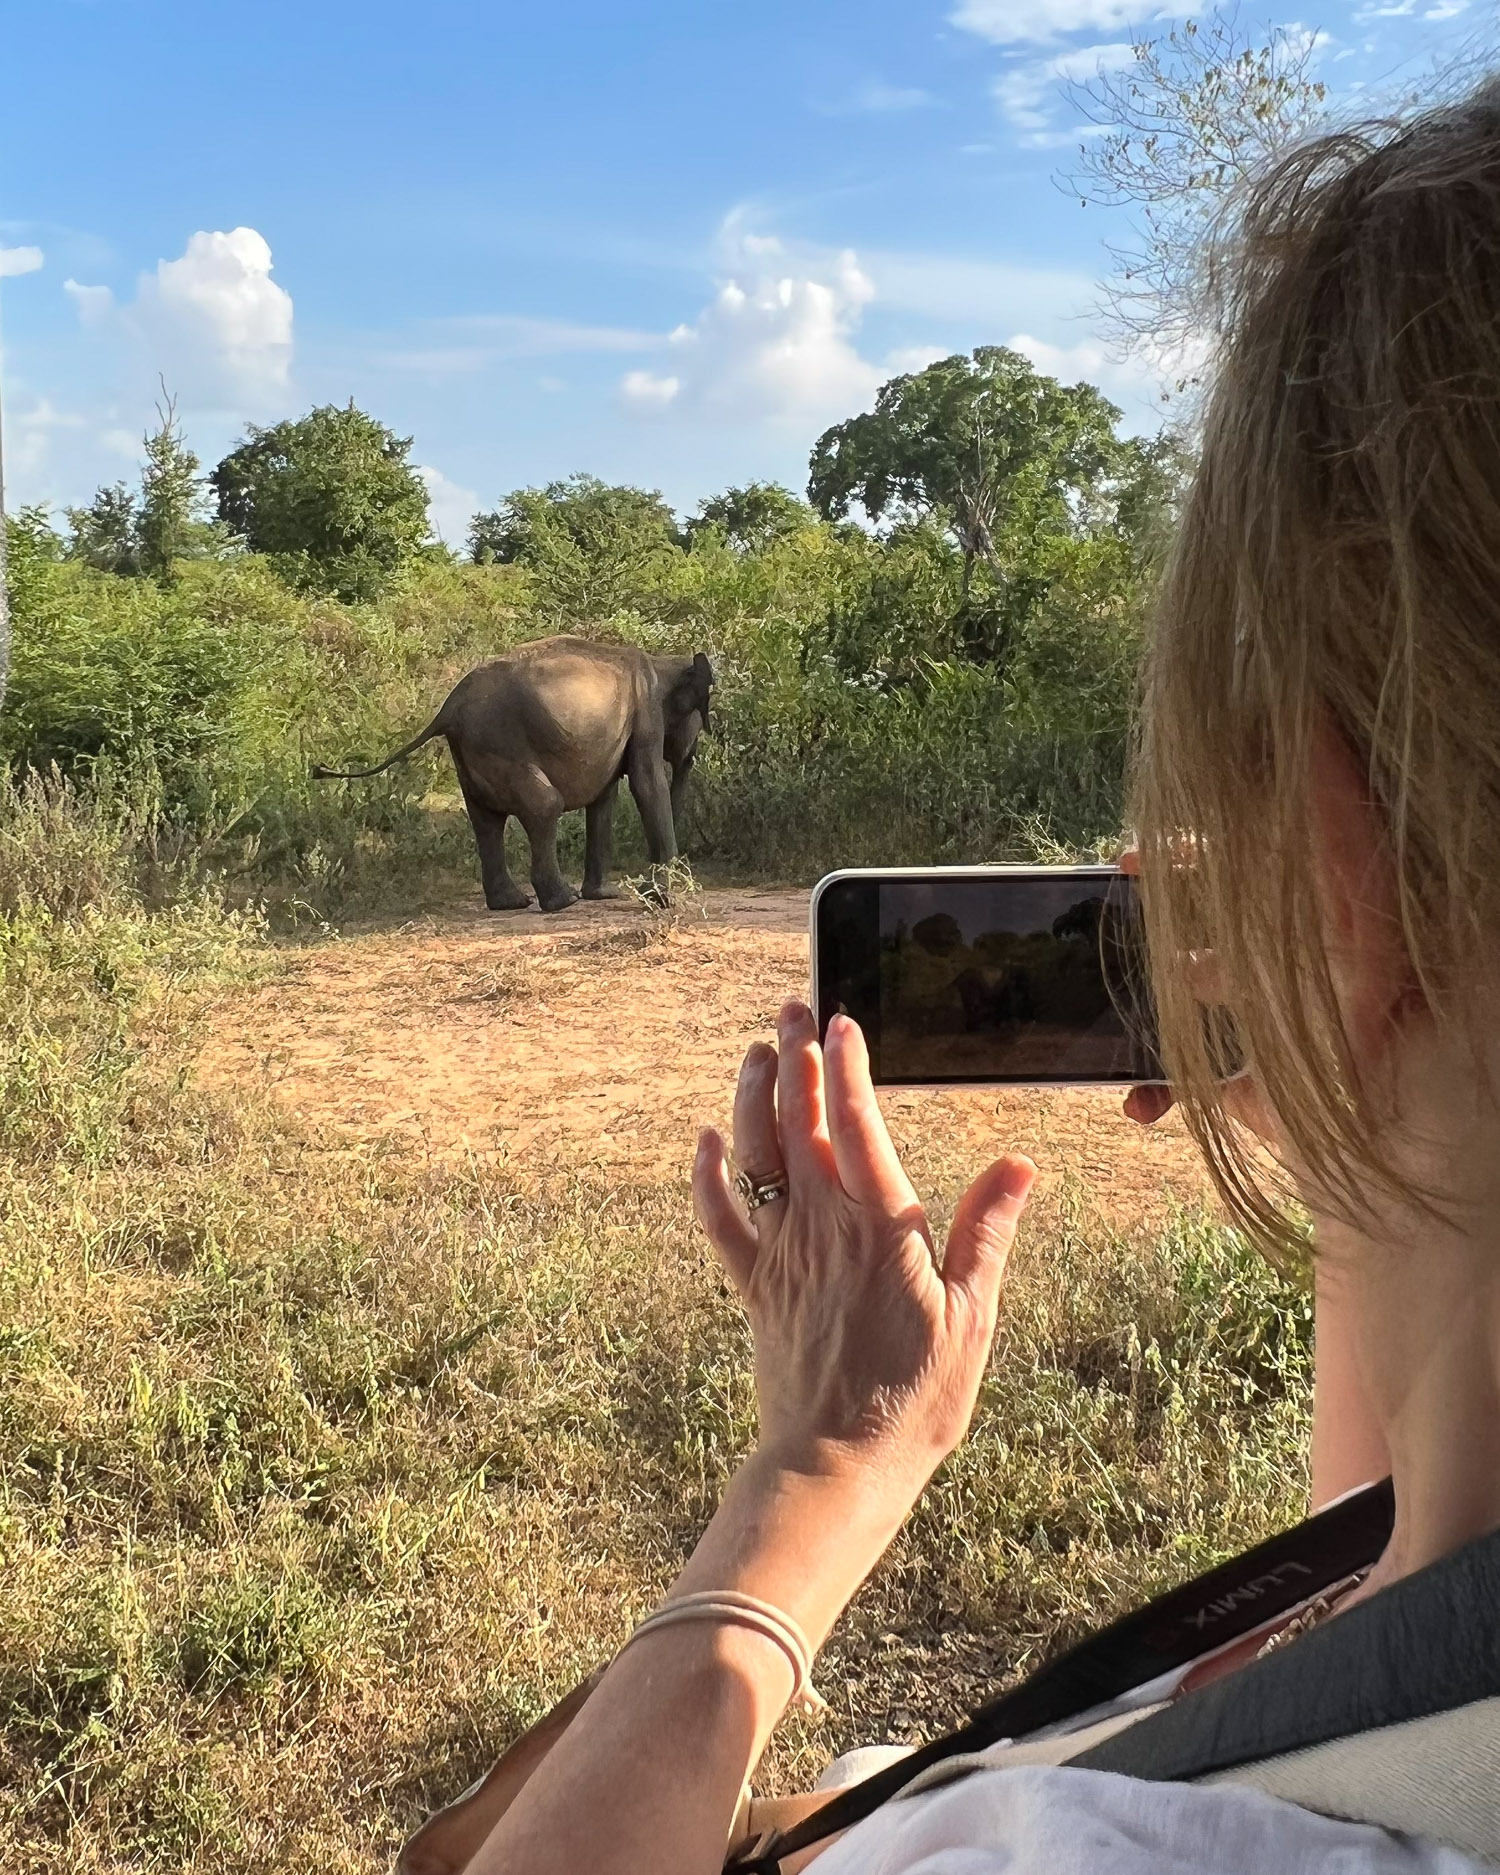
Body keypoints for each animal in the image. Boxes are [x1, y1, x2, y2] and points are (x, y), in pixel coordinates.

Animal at [311, 637, 716, 915]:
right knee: (544, 804)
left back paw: (512, 902)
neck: (663, 661)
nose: (653, 887)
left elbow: (604, 798)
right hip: (502, 742)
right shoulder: (645, 714)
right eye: (702, 713)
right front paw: (664, 897)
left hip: (473, 751)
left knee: (485, 819)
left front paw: (607, 895)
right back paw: (562, 901)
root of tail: (447, 709)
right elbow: (646, 784)